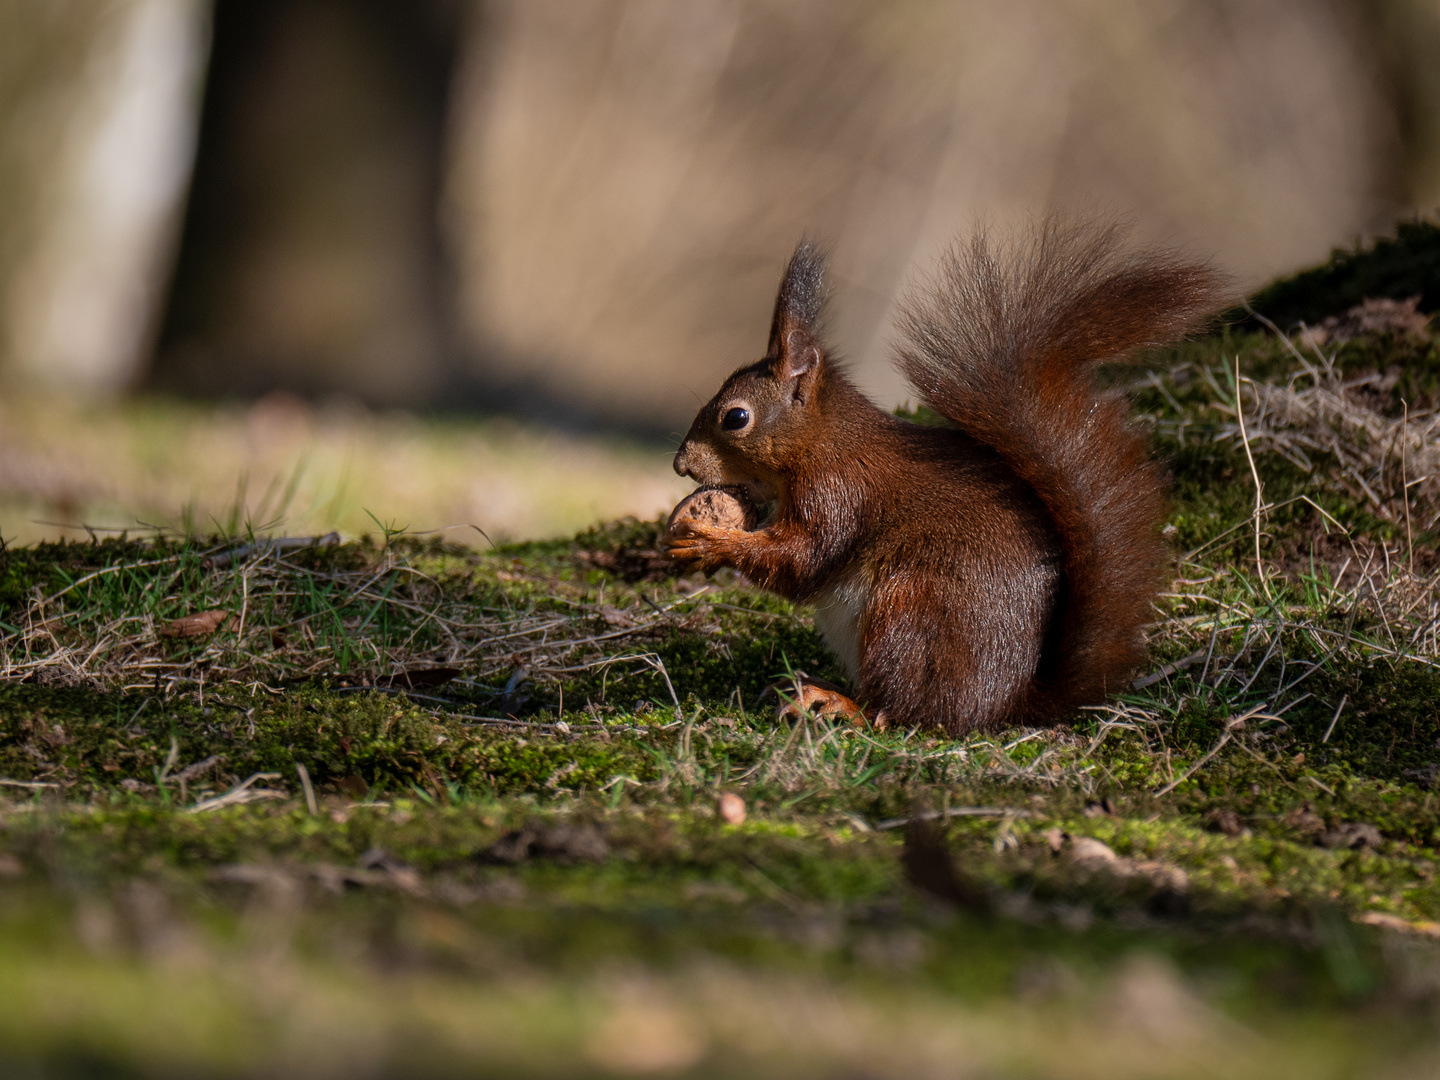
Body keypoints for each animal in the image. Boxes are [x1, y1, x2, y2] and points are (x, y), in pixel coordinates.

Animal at [662, 220, 1226, 737]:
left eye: (736, 418)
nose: (681, 465)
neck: (823, 441)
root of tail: (1002, 705)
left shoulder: (839, 492)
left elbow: (801, 560)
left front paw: (709, 542)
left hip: (911, 613)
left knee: (902, 713)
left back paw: (840, 705)